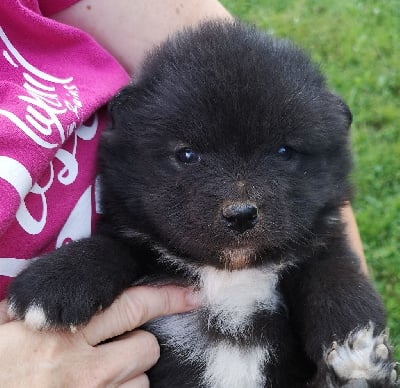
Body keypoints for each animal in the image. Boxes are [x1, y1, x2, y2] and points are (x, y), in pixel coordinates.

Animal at [7, 22, 396, 388]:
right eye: (187, 154)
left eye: (285, 152)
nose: (241, 214)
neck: (229, 275)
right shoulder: (136, 237)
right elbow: (112, 246)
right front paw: (56, 281)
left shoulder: (321, 244)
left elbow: (338, 281)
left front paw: (357, 353)